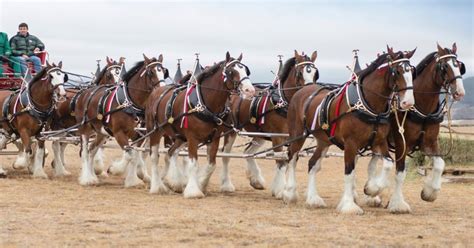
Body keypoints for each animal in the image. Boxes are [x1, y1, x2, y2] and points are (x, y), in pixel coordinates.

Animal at [74, 53, 168, 186]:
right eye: (151, 72)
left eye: (163, 71)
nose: (163, 90)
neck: (130, 103)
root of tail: (84, 93)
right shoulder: (119, 133)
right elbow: (129, 155)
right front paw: (115, 169)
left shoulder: (140, 136)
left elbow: (134, 156)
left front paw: (132, 180)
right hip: (84, 129)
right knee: (85, 153)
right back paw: (87, 179)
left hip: (101, 133)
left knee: (92, 150)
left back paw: (93, 176)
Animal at [146, 52, 256, 198]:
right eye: (231, 71)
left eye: (245, 69)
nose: (250, 90)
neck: (205, 104)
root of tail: (156, 92)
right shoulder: (193, 138)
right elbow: (193, 164)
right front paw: (193, 190)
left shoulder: (214, 138)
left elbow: (211, 164)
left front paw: (202, 183)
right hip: (155, 131)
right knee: (154, 157)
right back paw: (157, 186)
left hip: (180, 137)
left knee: (170, 153)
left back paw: (172, 182)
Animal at [221, 49, 318, 195]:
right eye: (300, 72)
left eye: (315, 73)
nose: (309, 92)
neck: (283, 103)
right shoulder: (278, 137)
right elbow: (280, 160)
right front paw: (280, 189)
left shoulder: (293, 137)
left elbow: (288, 159)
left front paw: (282, 188)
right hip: (230, 131)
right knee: (225, 154)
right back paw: (226, 184)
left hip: (259, 134)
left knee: (248, 152)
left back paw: (256, 180)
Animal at [282, 46, 414, 213]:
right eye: (397, 71)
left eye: (411, 71)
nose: (408, 102)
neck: (368, 105)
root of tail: (303, 89)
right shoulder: (351, 143)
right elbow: (349, 172)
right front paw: (349, 205)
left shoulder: (379, 141)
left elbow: (388, 164)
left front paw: (372, 189)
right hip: (298, 135)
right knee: (292, 158)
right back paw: (289, 193)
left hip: (324, 141)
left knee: (312, 164)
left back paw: (313, 199)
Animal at [386, 43, 466, 213]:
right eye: (445, 67)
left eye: (459, 65)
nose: (460, 92)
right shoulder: (402, 144)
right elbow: (400, 172)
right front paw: (397, 203)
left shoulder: (429, 142)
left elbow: (440, 164)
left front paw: (429, 192)